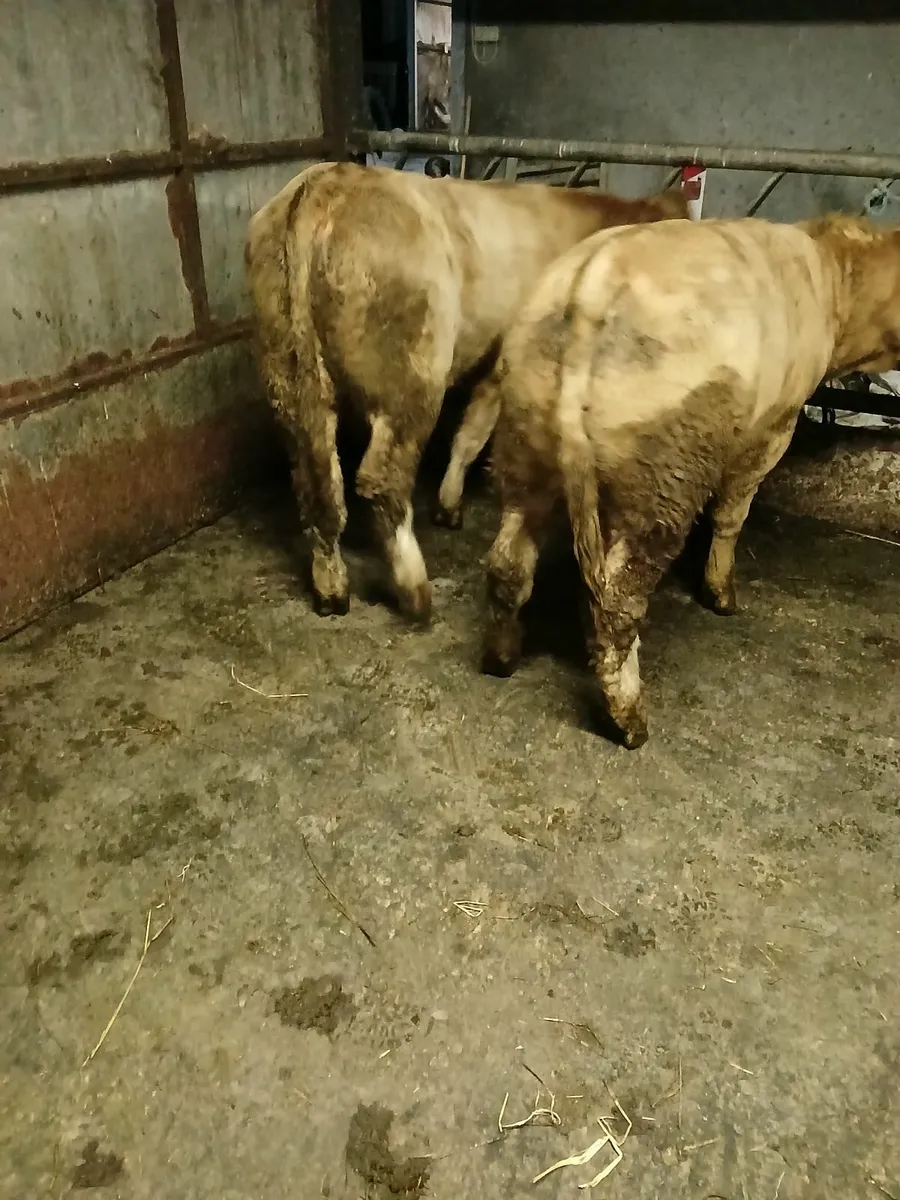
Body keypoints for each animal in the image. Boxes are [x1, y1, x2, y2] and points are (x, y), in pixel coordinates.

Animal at [244, 161, 689, 624]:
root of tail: (326, 181)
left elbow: (468, 434)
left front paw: (448, 505)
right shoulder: (505, 363)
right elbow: (475, 435)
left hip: (288, 378)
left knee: (316, 484)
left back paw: (331, 591)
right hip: (412, 379)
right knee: (381, 480)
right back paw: (415, 592)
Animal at [481, 212, 900, 748]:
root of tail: (593, 285)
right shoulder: (773, 427)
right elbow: (733, 511)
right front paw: (721, 594)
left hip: (523, 439)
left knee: (510, 561)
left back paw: (502, 656)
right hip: (665, 473)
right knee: (618, 602)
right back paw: (630, 720)